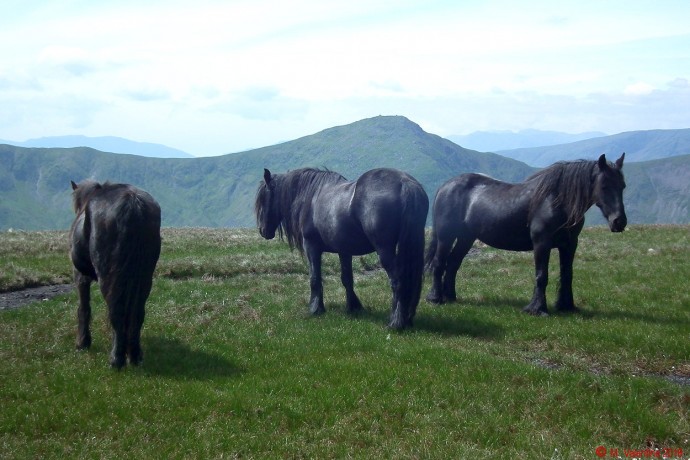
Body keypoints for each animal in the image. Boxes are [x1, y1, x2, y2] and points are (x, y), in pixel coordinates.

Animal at [69, 180, 161, 368]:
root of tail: (133, 203)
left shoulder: (80, 276)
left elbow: (83, 307)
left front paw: (82, 342)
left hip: (108, 276)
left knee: (116, 310)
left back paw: (116, 359)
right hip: (144, 278)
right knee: (137, 312)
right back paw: (134, 355)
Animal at [255, 167, 429, 330]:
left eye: (263, 199)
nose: (263, 231)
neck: (311, 196)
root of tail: (404, 183)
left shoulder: (311, 246)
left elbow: (315, 278)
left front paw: (315, 308)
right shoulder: (344, 251)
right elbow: (347, 279)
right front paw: (353, 307)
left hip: (385, 250)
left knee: (398, 280)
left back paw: (396, 322)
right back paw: (406, 319)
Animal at [424, 153, 627, 315]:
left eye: (622, 186)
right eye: (604, 186)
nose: (619, 222)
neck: (556, 202)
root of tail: (445, 186)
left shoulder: (569, 244)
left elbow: (567, 274)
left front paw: (566, 306)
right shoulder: (541, 243)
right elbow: (541, 275)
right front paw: (537, 309)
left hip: (466, 238)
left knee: (453, 264)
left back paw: (450, 297)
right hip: (446, 237)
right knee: (439, 263)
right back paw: (435, 298)